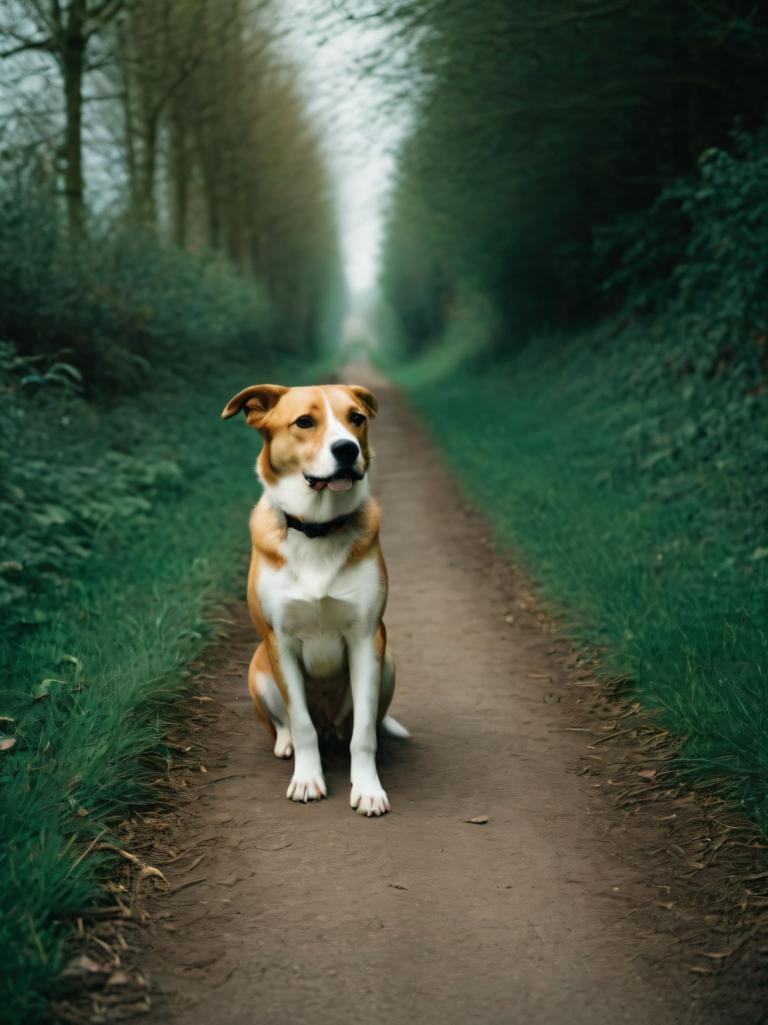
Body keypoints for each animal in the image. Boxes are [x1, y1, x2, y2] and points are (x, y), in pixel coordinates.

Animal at [220, 383, 408, 815]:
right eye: (304, 422)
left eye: (356, 418)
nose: (347, 450)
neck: (317, 528)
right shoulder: (281, 642)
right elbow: (301, 722)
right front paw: (307, 779)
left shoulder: (366, 640)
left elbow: (364, 732)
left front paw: (368, 787)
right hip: (258, 670)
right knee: (289, 723)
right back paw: (286, 743)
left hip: (388, 662)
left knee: (362, 724)